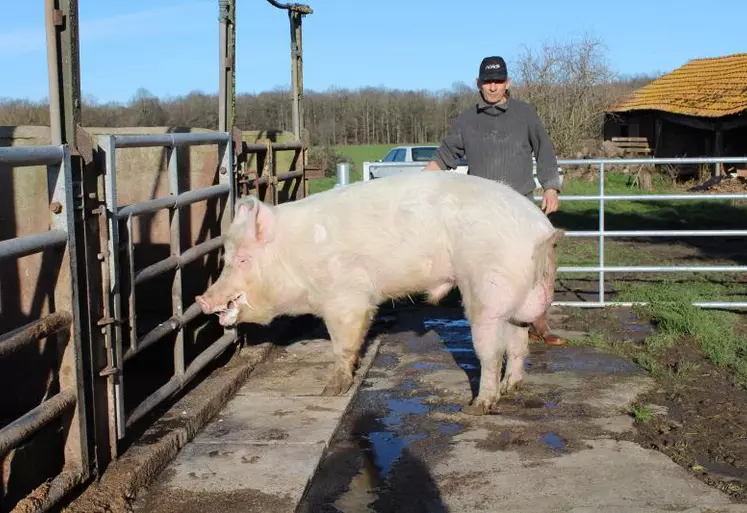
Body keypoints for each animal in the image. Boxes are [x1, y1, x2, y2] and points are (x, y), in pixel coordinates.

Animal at [196, 170, 564, 414]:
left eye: (243, 259)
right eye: (226, 257)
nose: (202, 299)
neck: (295, 256)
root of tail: (539, 230)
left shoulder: (346, 297)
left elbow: (343, 344)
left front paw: (329, 391)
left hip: (487, 293)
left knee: (491, 353)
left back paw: (477, 406)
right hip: (519, 298)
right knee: (518, 345)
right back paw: (512, 387)